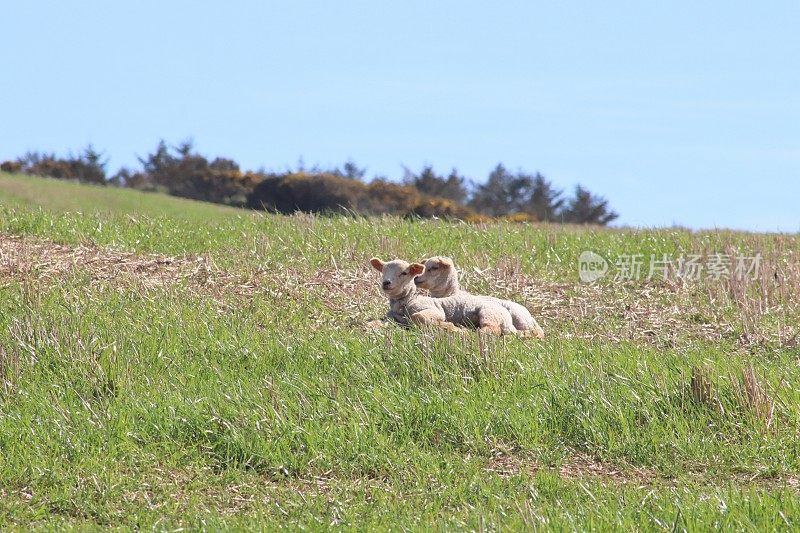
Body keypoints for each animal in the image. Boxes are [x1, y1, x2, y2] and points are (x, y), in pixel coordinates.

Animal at [368, 256, 520, 334]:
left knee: (490, 330)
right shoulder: (392, 318)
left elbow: (419, 317)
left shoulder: (434, 310)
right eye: (383, 271)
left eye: (404, 273)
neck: (407, 301)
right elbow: (372, 323)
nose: (386, 283)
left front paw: (447, 325)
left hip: (490, 314)